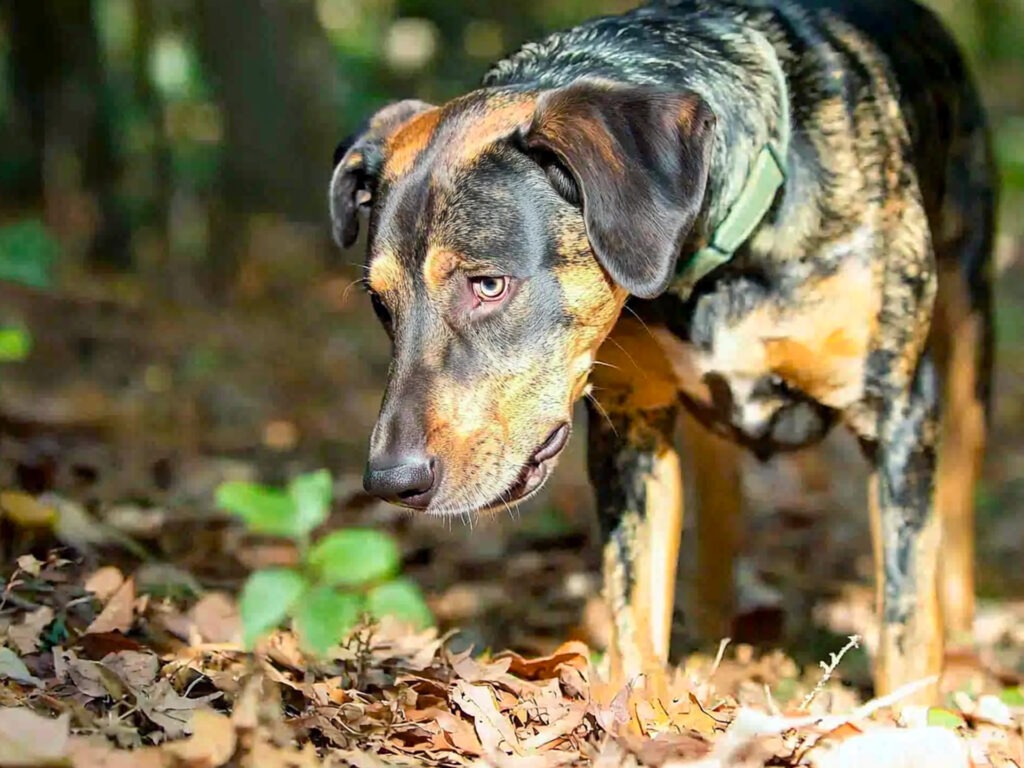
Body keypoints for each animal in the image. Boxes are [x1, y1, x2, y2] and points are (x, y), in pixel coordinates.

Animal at [331, 0, 995, 704]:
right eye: (381, 305)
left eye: (488, 285)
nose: (389, 481)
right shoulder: (632, 426)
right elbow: (635, 604)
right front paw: (646, 713)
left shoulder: (896, 411)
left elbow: (905, 619)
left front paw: (904, 715)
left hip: (966, 341)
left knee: (954, 510)